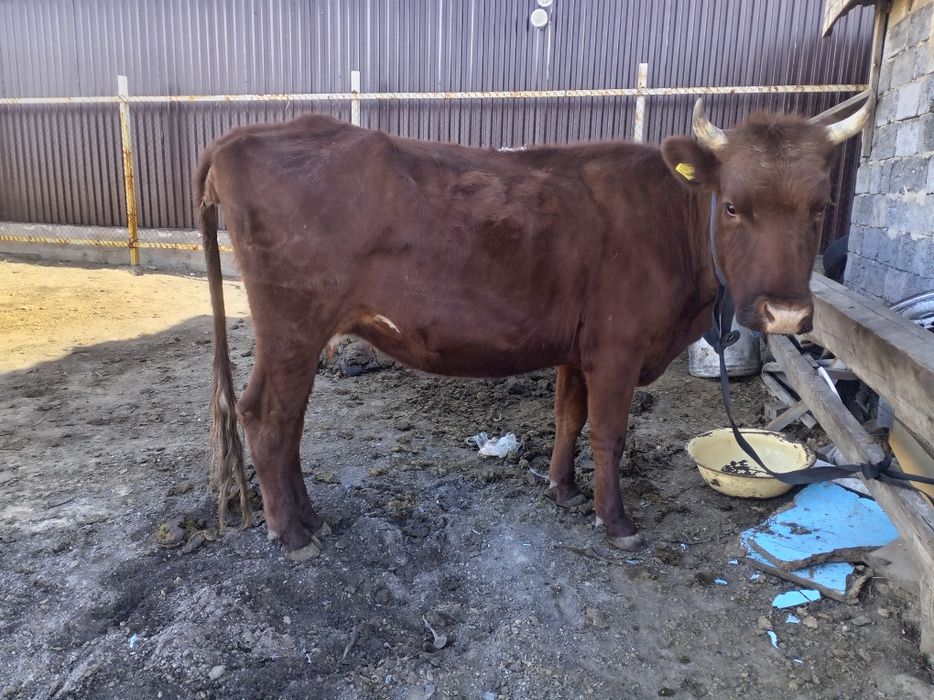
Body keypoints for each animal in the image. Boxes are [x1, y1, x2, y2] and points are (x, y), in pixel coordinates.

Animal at [194, 97, 872, 561]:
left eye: (818, 209)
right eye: (732, 205)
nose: (785, 314)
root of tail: (242, 135)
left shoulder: (579, 348)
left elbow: (568, 417)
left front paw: (563, 490)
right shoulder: (618, 349)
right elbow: (608, 434)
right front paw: (615, 522)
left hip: (301, 337)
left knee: (289, 420)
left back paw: (311, 517)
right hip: (291, 327)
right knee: (265, 414)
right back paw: (292, 533)